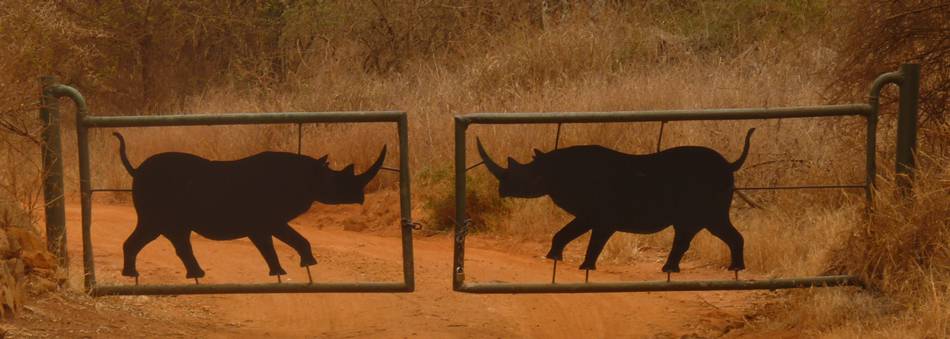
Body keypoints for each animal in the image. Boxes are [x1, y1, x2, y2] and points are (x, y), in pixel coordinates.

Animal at [113, 133, 388, 282]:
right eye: (338, 183)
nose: (360, 198)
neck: (308, 176)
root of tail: (136, 170)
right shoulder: (265, 220)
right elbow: (279, 242)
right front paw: (293, 268)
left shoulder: (266, 221)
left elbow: (281, 242)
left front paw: (293, 268)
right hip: (159, 198)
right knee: (161, 230)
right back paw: (139, 275)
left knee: (173, 234)